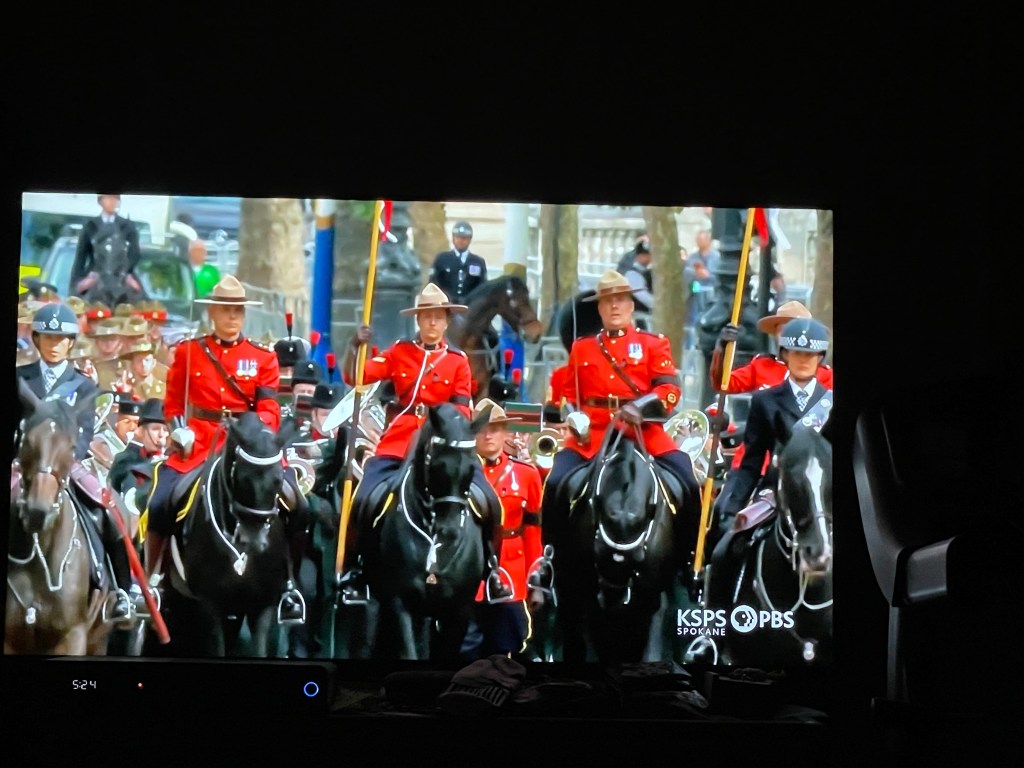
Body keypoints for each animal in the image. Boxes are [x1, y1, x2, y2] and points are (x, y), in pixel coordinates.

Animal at [552, 415, 693, 665]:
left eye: (638, 558)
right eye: (597, 554)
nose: (612, 603)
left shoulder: (653, 599)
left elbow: (652, 651)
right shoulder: (586, 598)